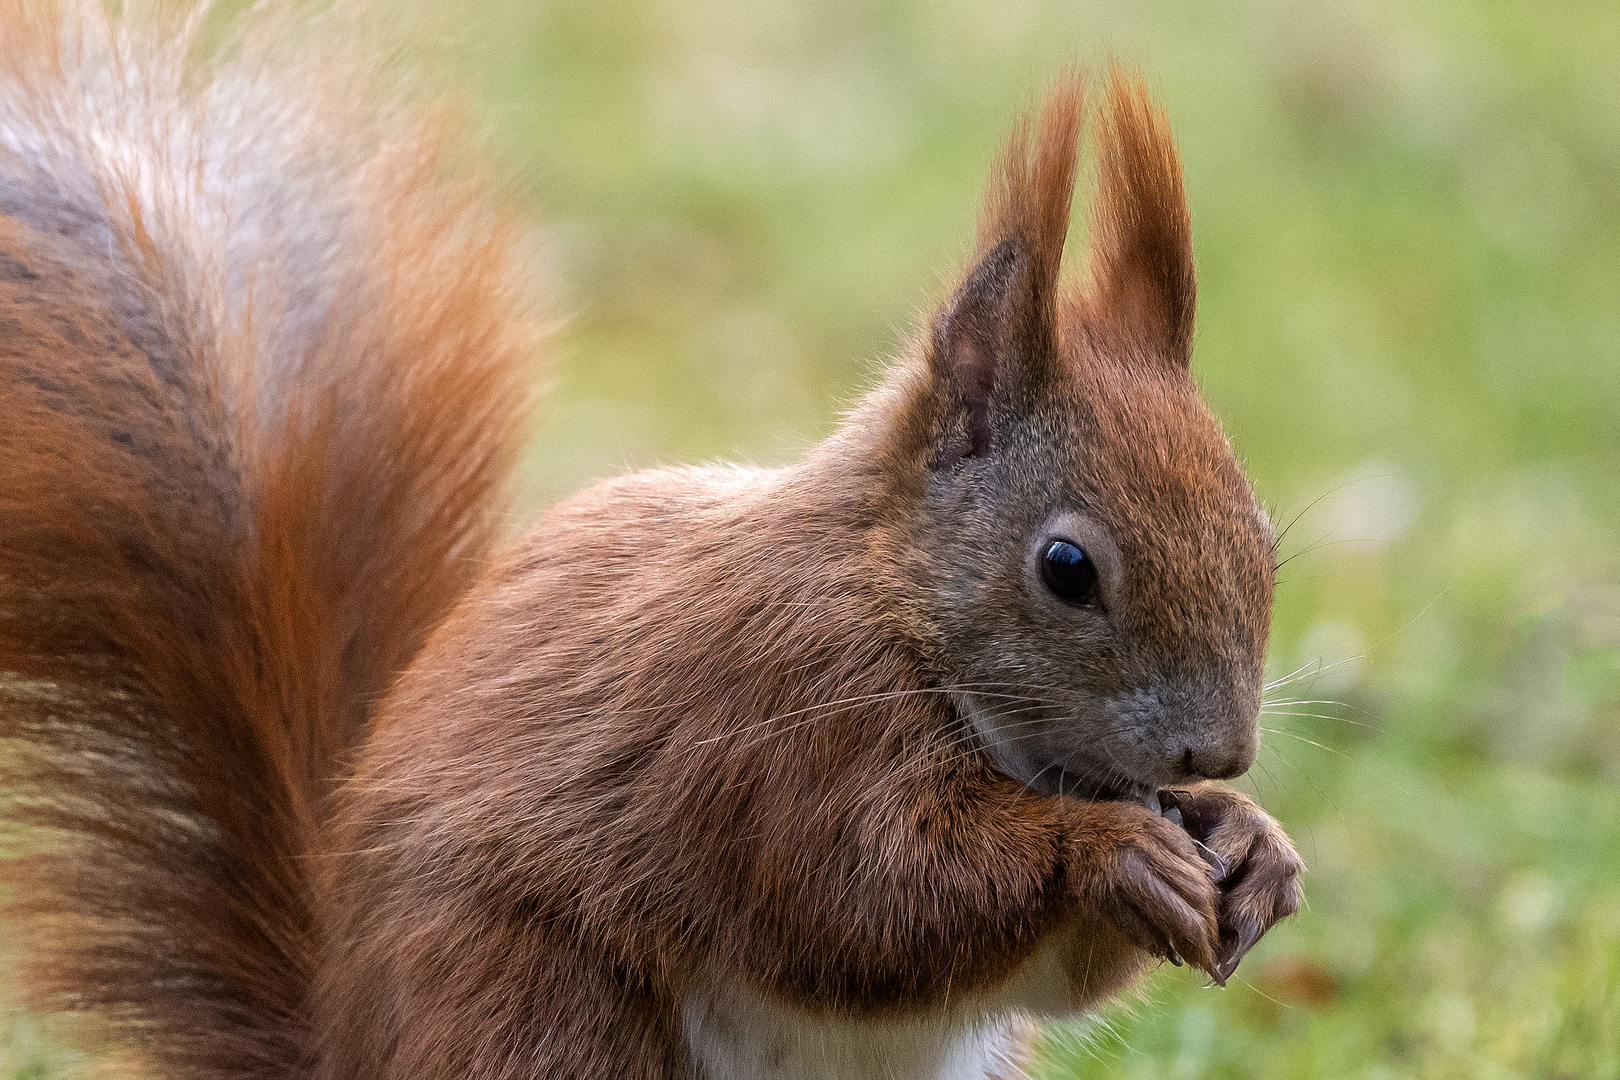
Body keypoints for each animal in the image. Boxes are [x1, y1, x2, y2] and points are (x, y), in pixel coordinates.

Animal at [0, 2, 1302, 1080]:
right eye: (1066, 570)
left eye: (1262, 538)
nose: (1220, 753)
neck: (896, 603)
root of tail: (345, 1044)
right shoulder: (766, 713)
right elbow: (867, 897)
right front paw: (1112, 848)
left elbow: (1054, 973)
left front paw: (1253, 846)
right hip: (534, 1009)